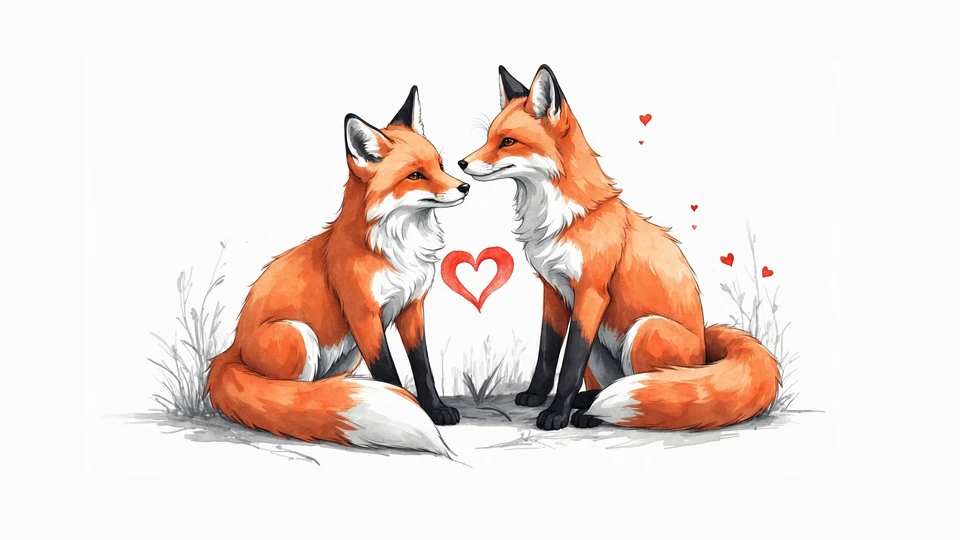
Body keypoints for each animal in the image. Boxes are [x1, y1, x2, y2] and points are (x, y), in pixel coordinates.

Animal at [205, 86, 468, 455]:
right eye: (416, 175)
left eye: (440, 165)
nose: (465, 187)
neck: (396, 250)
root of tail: (230, 352)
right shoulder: (363, 314)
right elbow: (387, 371)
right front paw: (407, 405)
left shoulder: (412, 306)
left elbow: (423, 366)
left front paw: (435, 409)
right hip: (297, 336)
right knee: (289, 397)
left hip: (346, 354)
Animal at [459, 65, 780, 431]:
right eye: (488, 138)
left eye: (508, 141)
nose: (461, 164)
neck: (564, 219)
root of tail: (704, 349)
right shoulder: (553, 291)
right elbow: (547, 353)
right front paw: (536, 396)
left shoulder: (592, 293)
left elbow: (569, 365)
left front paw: (556, 414)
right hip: (602, 344)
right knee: (610, 385)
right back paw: (588, 404)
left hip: (645, 330)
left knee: (658, 390)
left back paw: (591, 414)